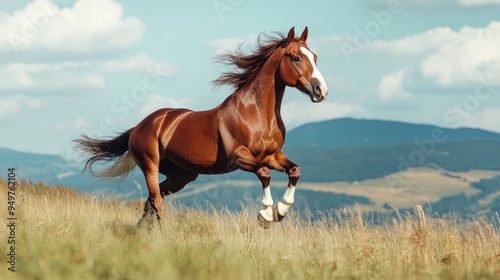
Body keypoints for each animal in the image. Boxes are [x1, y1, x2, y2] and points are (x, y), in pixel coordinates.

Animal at [74, 26, 328, 229]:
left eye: (315, 57)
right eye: (295, 57)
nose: (321, 91)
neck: (255, 113)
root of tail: (140, 125)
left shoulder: (272, 155)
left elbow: (294, 171)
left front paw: (282, 210)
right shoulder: (241, 157)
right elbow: (264, 174)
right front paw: (265, 216)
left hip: (182, 175)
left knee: (152, 200)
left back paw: (141, 230)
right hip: (150, 166)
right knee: (156, 200)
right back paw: (164, 233)